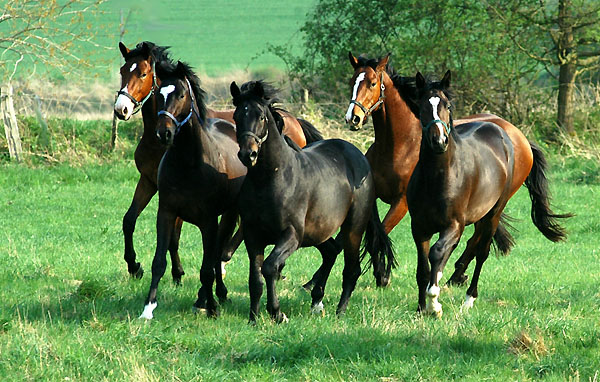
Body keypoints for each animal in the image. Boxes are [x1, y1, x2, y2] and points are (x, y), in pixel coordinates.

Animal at [114, 42, 322, 284]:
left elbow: (175, 235)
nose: (121, 109)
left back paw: (225, 260)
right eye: (122, 71)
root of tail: (293, 120)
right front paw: (134, 266)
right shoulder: (149, 181)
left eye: (143, 73)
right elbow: (129, 220)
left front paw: (177, 273)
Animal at [138, 62, 246, 320]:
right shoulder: (166, 213)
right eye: (159, 94)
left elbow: (207, 268)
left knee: (217, 255)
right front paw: (148, 308)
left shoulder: (208, 221)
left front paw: (211, 308)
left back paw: (215, 296)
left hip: (229, 214)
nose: (164, 133)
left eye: (181, 95)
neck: (189, 164)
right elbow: (159, 261)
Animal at [230, 80, 394, 322]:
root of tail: (360, 159)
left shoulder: (291, 235)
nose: (247, 154)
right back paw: (317, 300)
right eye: (236, 116)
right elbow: (256, 279)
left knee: (351, 269)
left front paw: (277, 313)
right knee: (331, 251)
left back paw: (340, 311)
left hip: (353, 228)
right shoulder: (253, 236)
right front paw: (253, 317)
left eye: (260, 116)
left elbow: (270, 267)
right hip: (317, 231)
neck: (270, 179)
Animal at [344, 53, 560, 286]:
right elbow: (374, 234)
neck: (398, 146)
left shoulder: (401, 203)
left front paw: (383, 276)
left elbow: (382, 231)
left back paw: (456, 275)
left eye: (373, 83)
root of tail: (520, 137)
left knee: (477, 237)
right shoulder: (372, 196)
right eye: (352, 81)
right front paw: (379, 273)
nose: (353, 118)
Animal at [408, 71, 572, 316]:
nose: (439, 142)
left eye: (448, 105)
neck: (437, 177)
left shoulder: (454, 225)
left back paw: (469, 299)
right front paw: (421, 308)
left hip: (493, 214)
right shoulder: (419, 227)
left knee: (482, 252)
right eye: (422, 106)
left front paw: (434, 304)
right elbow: (423, 268)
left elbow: (437, 253)